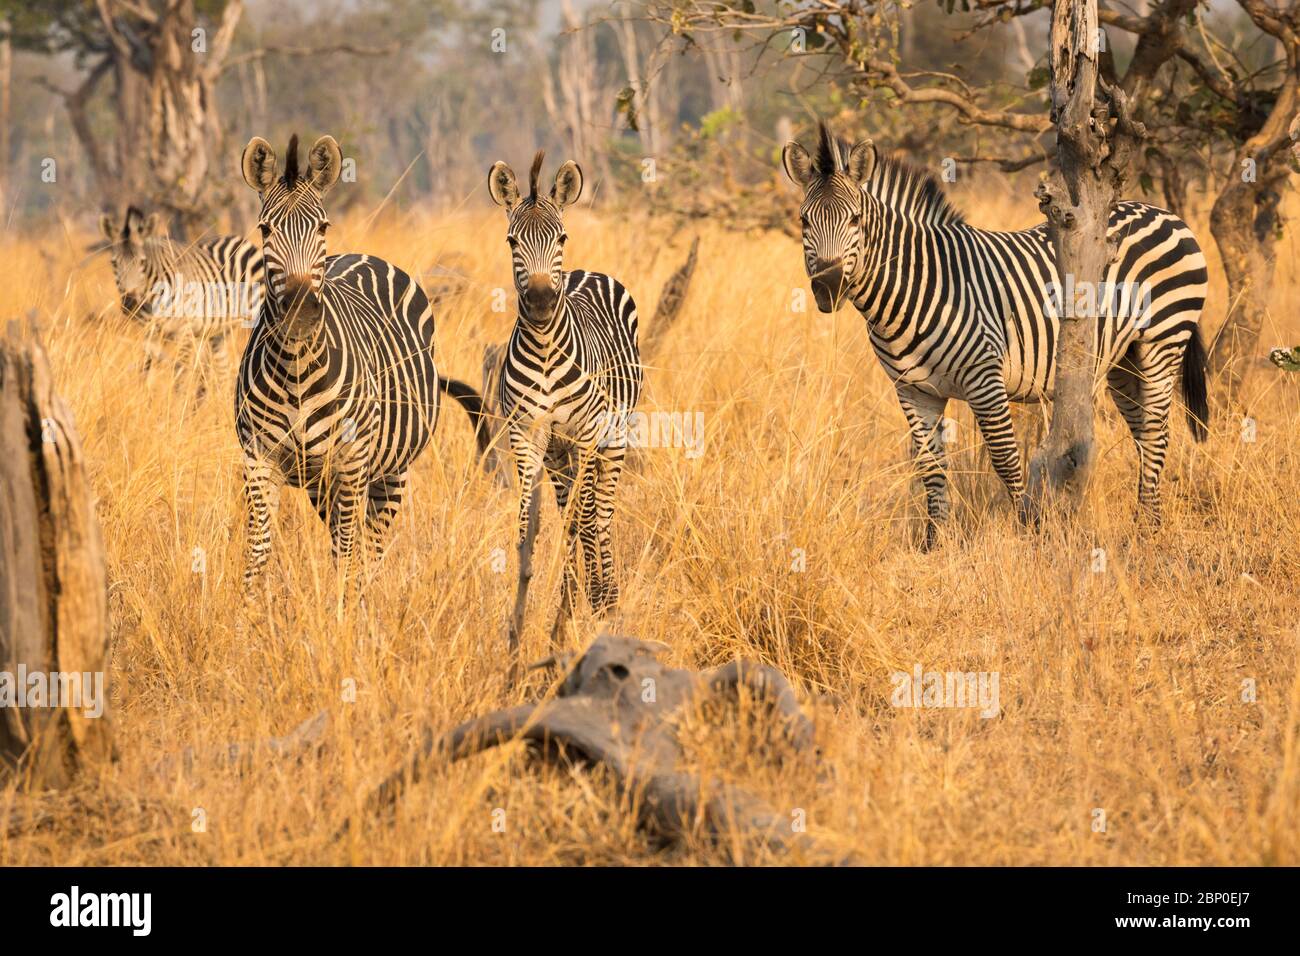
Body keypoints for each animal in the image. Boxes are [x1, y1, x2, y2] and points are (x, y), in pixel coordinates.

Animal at [99, 206, 262, 393]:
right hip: (218, 332)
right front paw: (142, 396)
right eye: (114, 263)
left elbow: (181, 375)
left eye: (142, 263)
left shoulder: (184, 330)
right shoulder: (149, 332)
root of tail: (241, 240)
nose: (130, 304)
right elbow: (145, 370)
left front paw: (178, 401)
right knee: (223, 372)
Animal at [237, 132, 489, 599]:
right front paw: (246, 616)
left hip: (390, 470)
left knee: (368, 544)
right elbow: (257, 553)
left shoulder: (352, 461)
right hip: (323, 480)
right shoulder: (259, 459)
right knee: (347, 539)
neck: (296, 368)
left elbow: (350, 552)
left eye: (322, 227)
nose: (300, 314)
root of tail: (365, 256)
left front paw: (343, 614)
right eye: (265, 229)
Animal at [487, 150, 642, 657]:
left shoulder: (589, 433)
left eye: (561, 238)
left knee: (601, 512)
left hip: (612, 437)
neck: (543, 347)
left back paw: (604, 594)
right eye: (512, 240)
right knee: (573, 507)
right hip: (559, 451)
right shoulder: (526, 433)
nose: (538, 301)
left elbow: (586, 516)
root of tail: (586, 271)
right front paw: (529, 598)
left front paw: (583, 601)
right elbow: (527, 523)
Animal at [782, 123, 1209, 548]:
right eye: (804, 222)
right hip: (1124, 361)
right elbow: (930, 466)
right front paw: (934, 544)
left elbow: (1005, 458)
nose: (828, 287)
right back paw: (1146, 518)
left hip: (1162, 342)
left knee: (1156, 433)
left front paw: (1028, 531)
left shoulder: (984, 377)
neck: (910, 291)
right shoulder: (913, 390)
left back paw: (1148, 528)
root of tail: (1166, 213)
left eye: (855, 220)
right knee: (1142, 432)